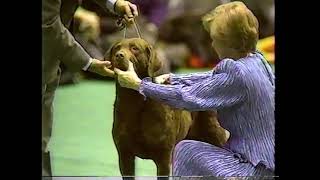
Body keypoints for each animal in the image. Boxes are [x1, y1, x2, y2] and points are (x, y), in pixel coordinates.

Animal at [106, 38, 229, 180]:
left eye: (134, 48)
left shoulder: (163, 157)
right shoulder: (125, 155)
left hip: (215, 134)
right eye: (117, 48)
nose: (119, 55)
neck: (135, 103)